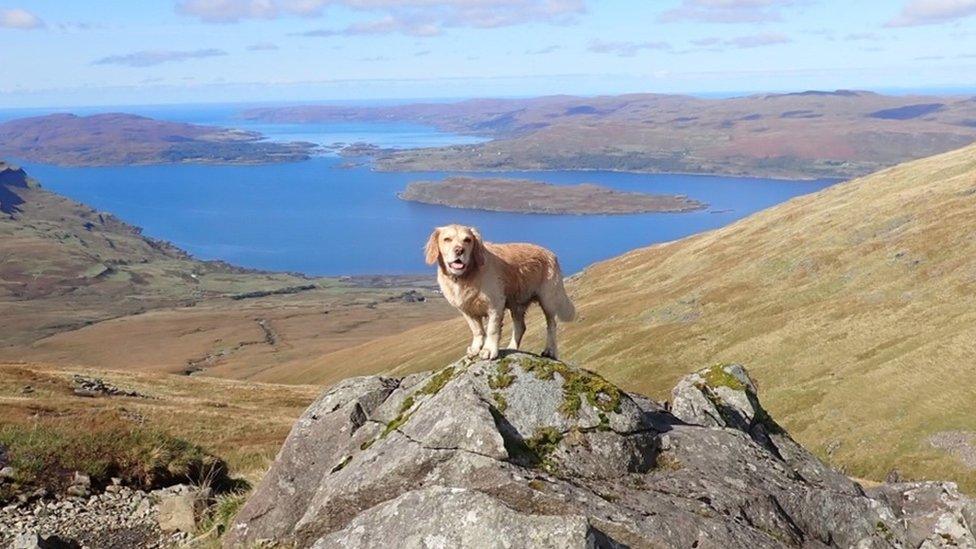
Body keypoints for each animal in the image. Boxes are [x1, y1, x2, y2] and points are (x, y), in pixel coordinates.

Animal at [426, 223, 576, 360]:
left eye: (467, 240)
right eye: (447, 239)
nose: (459, 250)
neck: (467, 275)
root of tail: (551, 254)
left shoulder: (495, 305)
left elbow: (492, 329)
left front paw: (488, 350)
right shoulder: (466, 309)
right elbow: (477, 330)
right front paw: (475, 348)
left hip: (547, 300)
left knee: (551, 325)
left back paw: (550, 351)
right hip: (516, 304)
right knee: (520, 327)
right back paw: (512, 347)